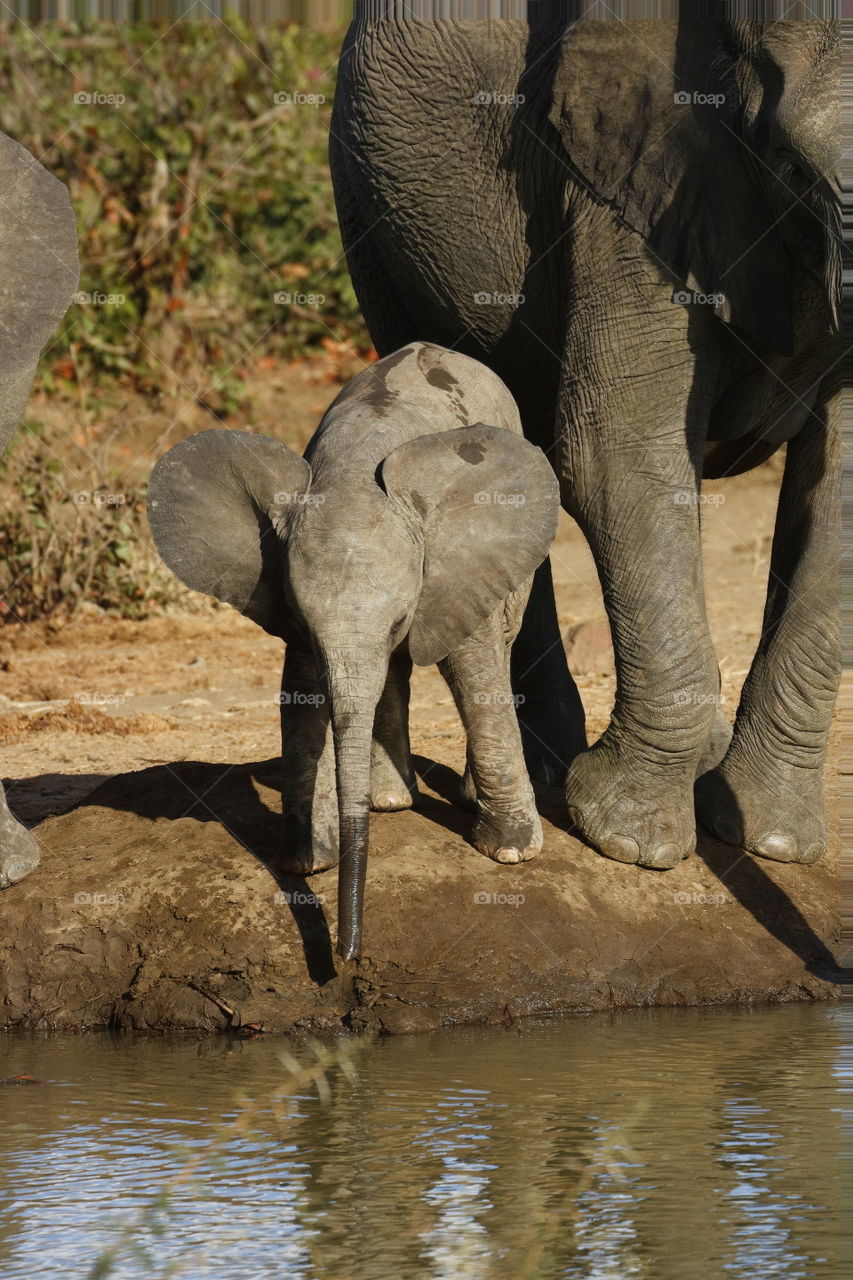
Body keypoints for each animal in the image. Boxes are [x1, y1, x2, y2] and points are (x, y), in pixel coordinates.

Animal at [147, 340, 558, 962]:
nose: (348, 957)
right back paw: (388, 800)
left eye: (398, 623)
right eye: (306, 624)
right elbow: (300, 693)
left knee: (500, 645)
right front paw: (305, 862)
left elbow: (472, 668)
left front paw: (510, 853)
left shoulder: (460, 562)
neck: (356, 466)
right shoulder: (289, 593)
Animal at [327, 7, 840, 870]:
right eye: (793, 168)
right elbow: (616, 449)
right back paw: (539, 778)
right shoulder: (630, 176)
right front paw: (629, 839)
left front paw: (765, 838)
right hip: (372, 218)